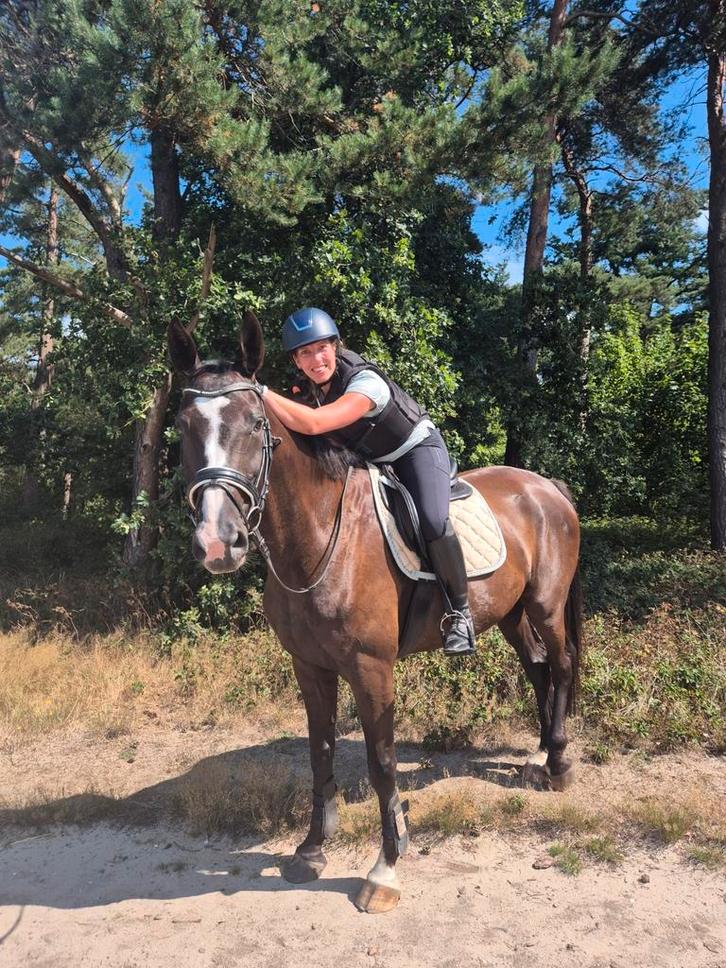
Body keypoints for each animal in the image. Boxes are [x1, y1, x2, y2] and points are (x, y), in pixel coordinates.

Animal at [168, 313, 583, 914]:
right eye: (182, 427)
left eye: (255, 424)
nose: (219, 543)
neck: (321, 540)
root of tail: (545, 485)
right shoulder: (309, 667)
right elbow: (320, 752)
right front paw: (312, 849)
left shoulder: (371, 668)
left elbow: (382, 761)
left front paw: (385, 867)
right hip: (510, 612)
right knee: (537, 667)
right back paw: (539, 752)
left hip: (547, 605)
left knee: (563, 663)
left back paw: (559, 762)